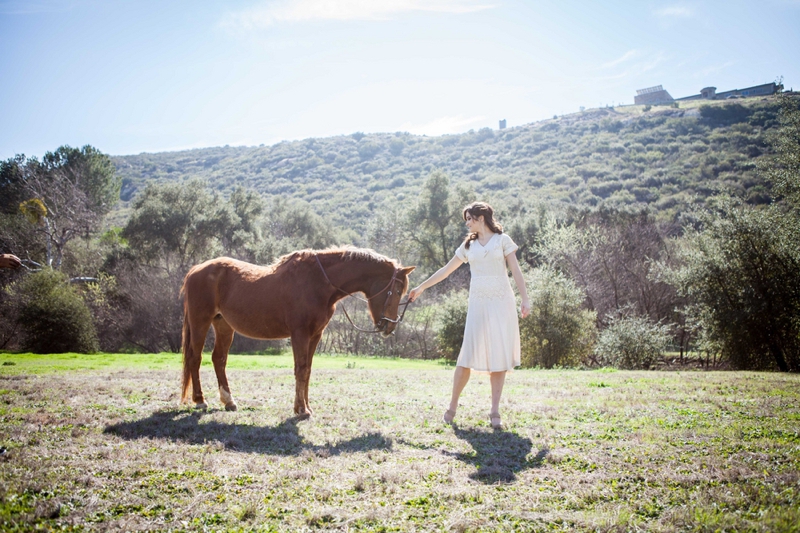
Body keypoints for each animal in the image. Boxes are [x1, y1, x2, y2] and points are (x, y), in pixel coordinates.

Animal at [180, 247, 416, 418]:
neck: (319, 282)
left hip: (223, 326)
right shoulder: (299, 334)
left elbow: (308, 370)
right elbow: (301, 369)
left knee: (218, 359)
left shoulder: (315, 335)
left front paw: (306, 406)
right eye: (396, 290)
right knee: (195, 358)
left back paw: (229, 401)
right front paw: (301, 409)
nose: (389, 326)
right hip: (201, 322)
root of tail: (196, 270)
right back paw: (200, 400)